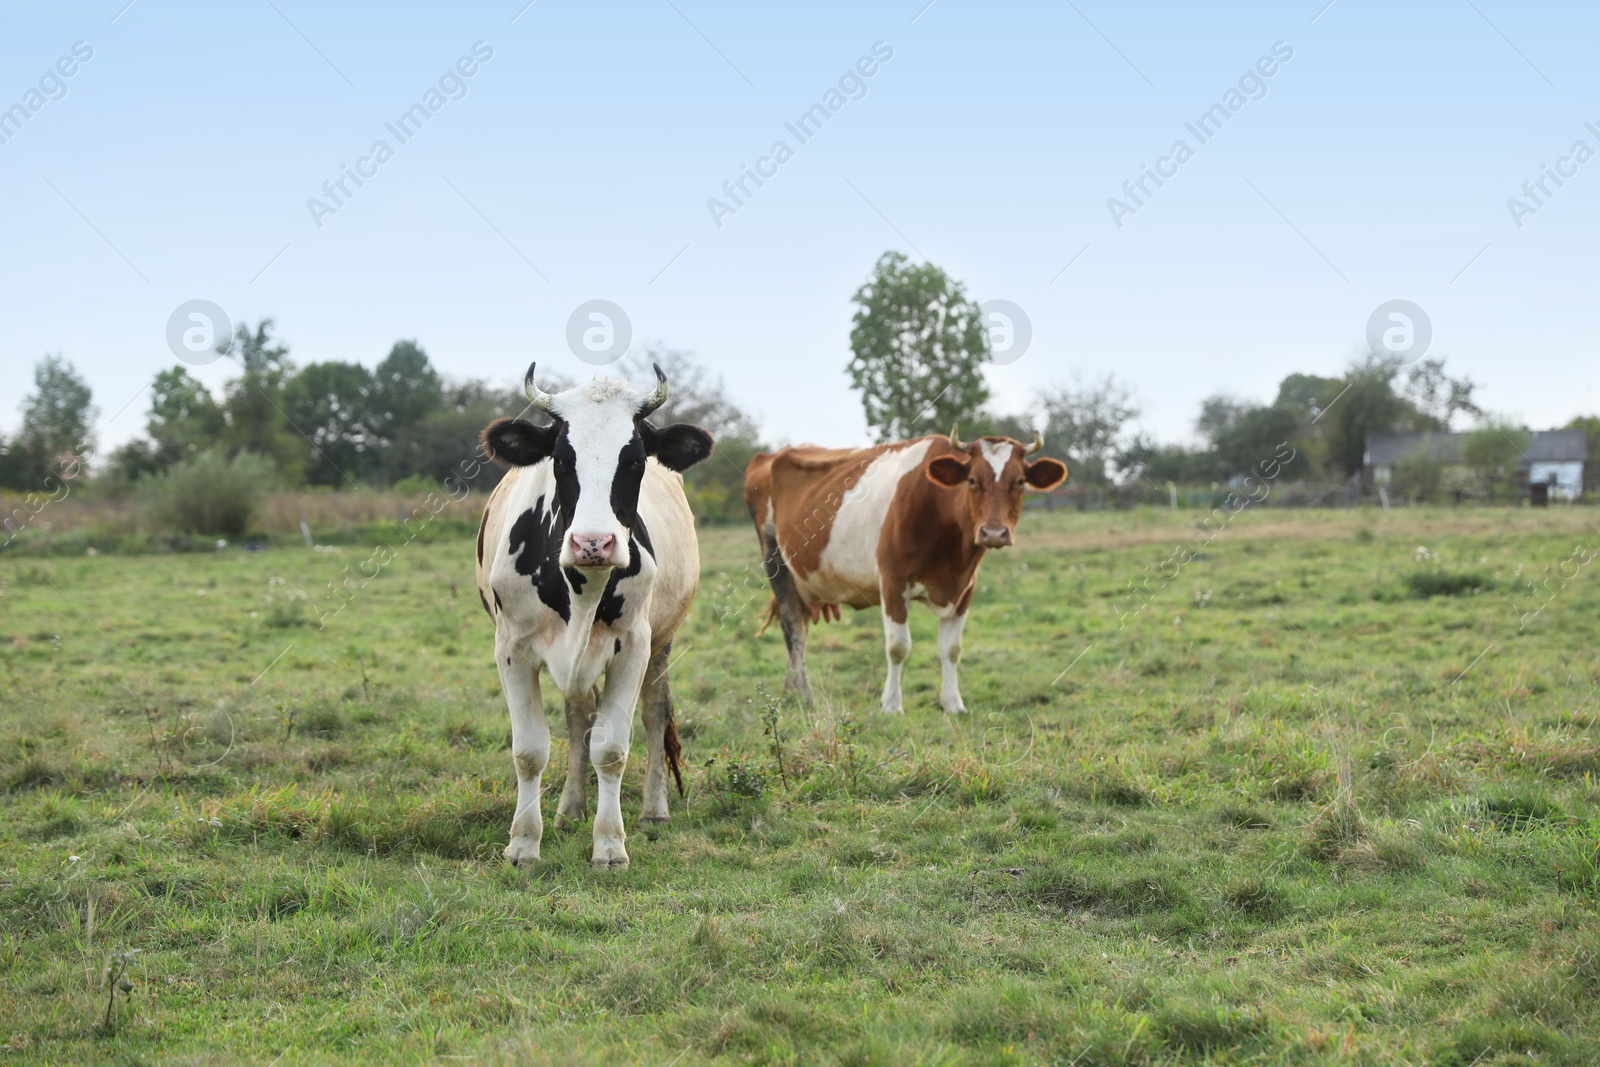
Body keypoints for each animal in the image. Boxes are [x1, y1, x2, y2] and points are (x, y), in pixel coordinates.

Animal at [473, 364, 713, 870]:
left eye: (636, 460)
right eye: (562, 460)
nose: (593, 543)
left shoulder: (633, 646)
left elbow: (611, 748)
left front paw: (609, 845)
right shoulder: (511, 649)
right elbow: (530, 750)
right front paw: (523, 843)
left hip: (662, 642)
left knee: (655, 714)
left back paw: (653, 809)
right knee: (578, 716)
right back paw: (570, 807)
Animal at [742, 428, 1068, 716]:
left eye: (1020, 482)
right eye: (973, 480)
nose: (994, 532)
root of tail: (770, 456)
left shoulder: (966, 587)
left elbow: (951, 649)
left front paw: (953, 704)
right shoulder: (892, 582)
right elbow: (897, 647)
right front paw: (891, 705)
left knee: (797, 630)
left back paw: (791, 692)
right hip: (776, 562)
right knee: (794, 631)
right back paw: (805, 695)